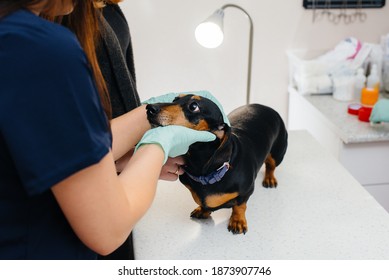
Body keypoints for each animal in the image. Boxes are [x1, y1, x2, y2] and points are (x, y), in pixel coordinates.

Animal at [144, 94, 286, 234]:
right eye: (175, 99)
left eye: (194, 106)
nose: (149, 108)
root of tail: (265, 106)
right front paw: (203, 210)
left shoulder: (247, 191)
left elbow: (240, 206)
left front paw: (237, 221)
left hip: (277, 154)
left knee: (271, 165)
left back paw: (269, 179)